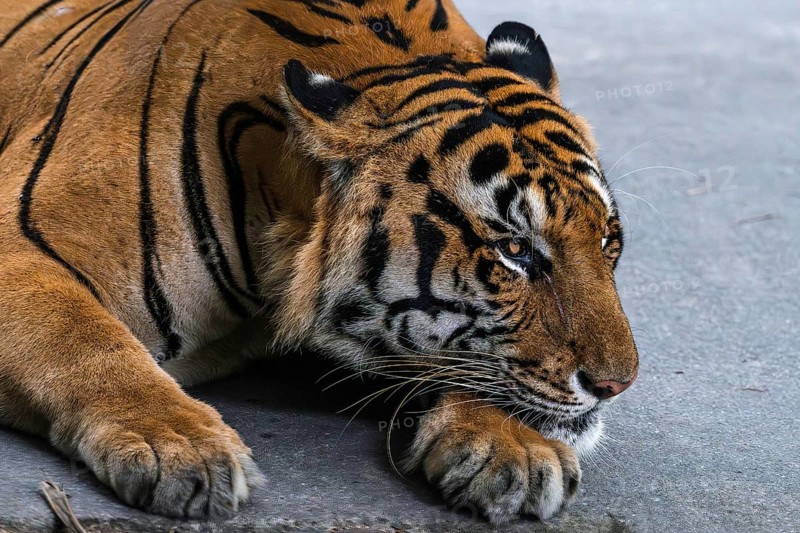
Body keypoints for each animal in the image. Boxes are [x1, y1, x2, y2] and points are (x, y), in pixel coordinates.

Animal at [0, 0, 639, 524]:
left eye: (609, 239)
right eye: (515, 250)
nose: (617, 384)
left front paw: (516, 450)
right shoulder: (19, 247)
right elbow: (84, 338)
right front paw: (180, 447)